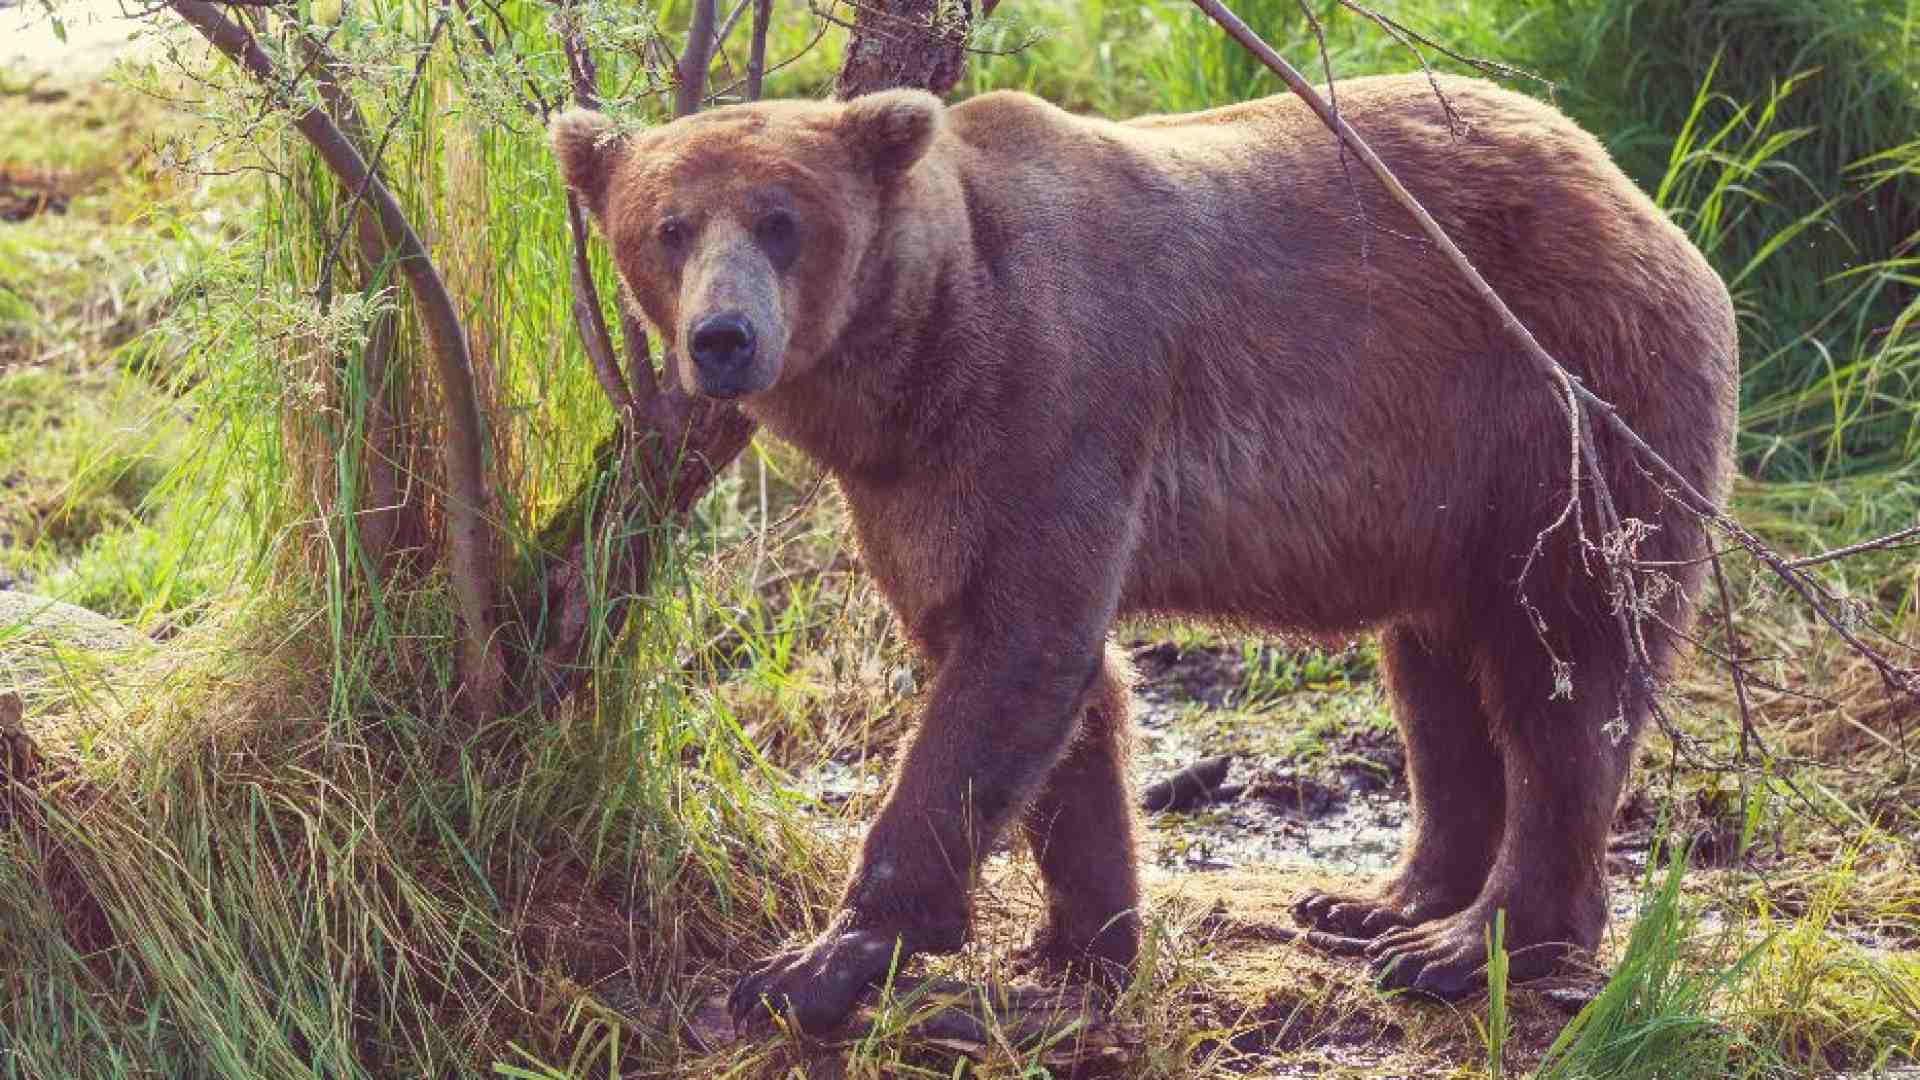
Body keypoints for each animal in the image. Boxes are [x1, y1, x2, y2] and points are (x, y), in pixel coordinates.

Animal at [550, 73, 1738, 1035]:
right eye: (668, 226)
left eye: (781, 220)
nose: (723, 338)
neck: (922, 353)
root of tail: (1635, 193)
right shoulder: (916, 490)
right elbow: (1041, 684)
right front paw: (1080, 946)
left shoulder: (1058, 402)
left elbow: (1015, 659)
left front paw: (816, 963)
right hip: (1440, 493)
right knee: (1437, 674)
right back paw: (1379, 901)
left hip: (1562, 406)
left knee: (1563, 669)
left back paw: (1468, 944)